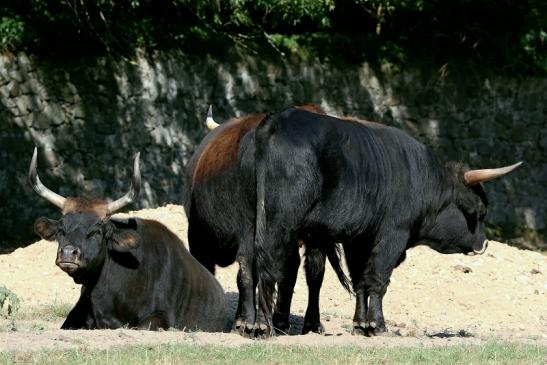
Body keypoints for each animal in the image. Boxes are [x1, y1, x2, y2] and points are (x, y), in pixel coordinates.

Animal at [255, 106, 524, 336]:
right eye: (479, 211)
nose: (484, 244)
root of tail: (276, 122)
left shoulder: (358, 240)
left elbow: (360, 279)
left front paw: (360, 323)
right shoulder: (392, 236)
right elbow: (378, 278)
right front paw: (376, 324)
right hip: (284, 227)